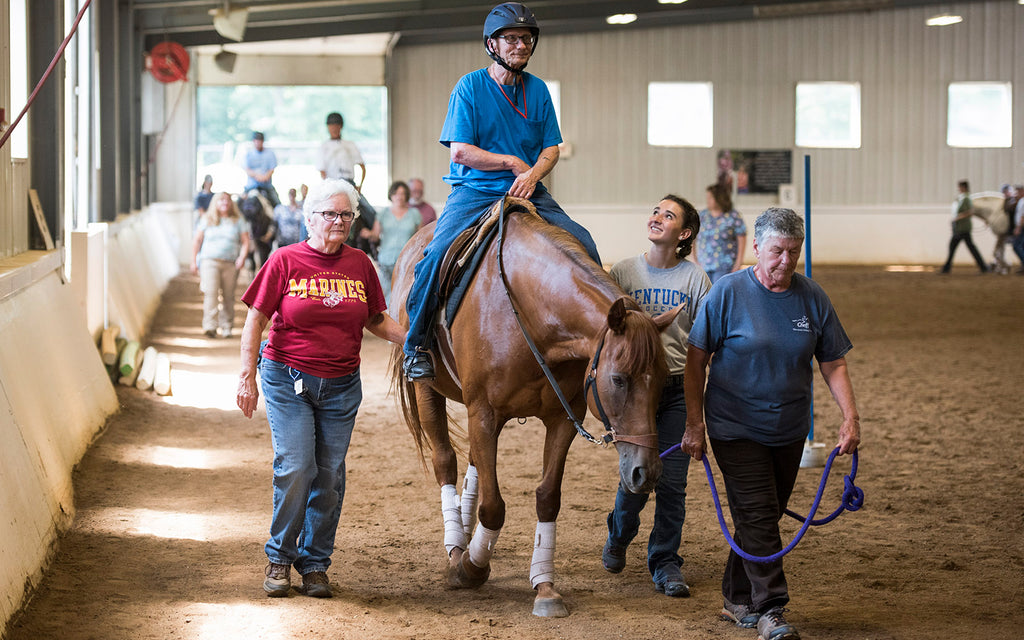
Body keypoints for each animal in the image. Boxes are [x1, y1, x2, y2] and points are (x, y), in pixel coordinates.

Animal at [389, 197, 671, 618]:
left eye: (665, 377)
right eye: (619, 379)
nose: (646, 472)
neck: (529, 312)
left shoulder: (563, 419)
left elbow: (547, 498)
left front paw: (544, 586)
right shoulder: (484, 413)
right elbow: (493, 506)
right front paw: (470, 567)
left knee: (473, 463)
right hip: (427, 390)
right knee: (446, 462)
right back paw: (456, 544)